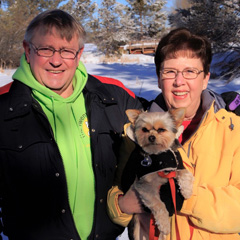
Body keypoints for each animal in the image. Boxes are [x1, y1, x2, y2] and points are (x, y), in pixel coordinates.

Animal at [123, 108, 194, 240]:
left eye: (161, 129)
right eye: (144, 129)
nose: (151, 137)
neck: (159, 155)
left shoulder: (174, 168)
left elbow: (184, 172)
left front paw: (187, 190)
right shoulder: (145, 185)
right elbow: (159, 204)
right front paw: (164, 224)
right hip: (136, 228)